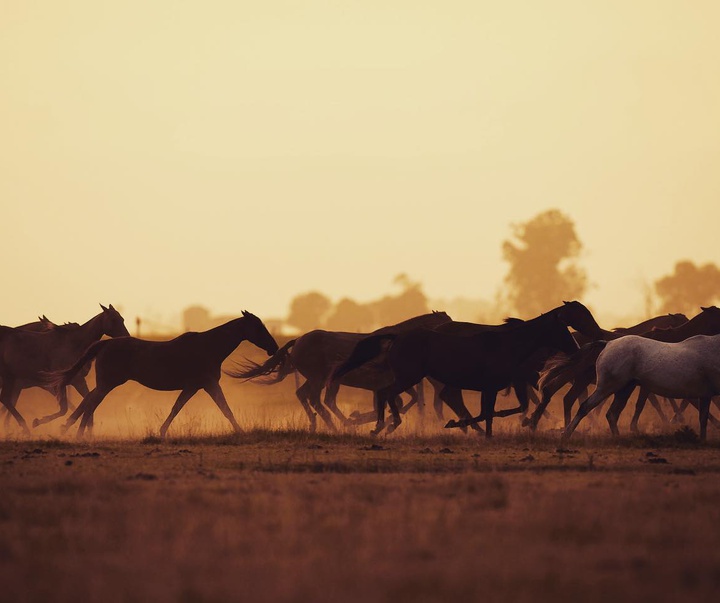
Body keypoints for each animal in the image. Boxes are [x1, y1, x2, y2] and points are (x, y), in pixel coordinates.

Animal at [0, 306, 128, 434]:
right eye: (113, 320)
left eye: (122, 319)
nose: (126, 336)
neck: (74, 344)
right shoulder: (62, 383)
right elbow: (65, 408)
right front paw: (39, 422)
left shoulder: (76, 381)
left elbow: (85, 399)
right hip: (9, 378)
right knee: (5, 399)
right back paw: (26, 428)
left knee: (6, 400)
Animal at [40, 312, 278, 438]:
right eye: (258, 327)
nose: (274, 348)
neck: (208, 347)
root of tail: (105, 343)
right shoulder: (207, 384)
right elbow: (224, 409)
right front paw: (241, 431)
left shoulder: (194, 387)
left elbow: (177, 408)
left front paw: (161, 432)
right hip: (107, 384)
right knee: (90, 404)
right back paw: (79, 434)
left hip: (105, 384)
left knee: (88, 403)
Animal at [225, 314, 450, 432]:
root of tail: (298, 341)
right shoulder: (384, 383)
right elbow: (398, 402)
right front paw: (362, 419)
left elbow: (407, 401)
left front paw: (365, 419)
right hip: (321, 379)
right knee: (318, 399)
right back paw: (337, 425)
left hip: (320, 379)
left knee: (308, 396)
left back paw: (319, 423)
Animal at [332, 306, 580, 438]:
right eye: (561, 328)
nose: (576, 348)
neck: (507, 345)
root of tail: (397, 337)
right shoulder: (491, 386)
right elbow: (489, 412)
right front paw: (460, 426)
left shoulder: (490, 388)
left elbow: (491, 412)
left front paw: (475, 430)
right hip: (409, 376)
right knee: (388, 394)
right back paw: (388, 425)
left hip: (410, 377)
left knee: (386, 393)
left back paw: (381, 426)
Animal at [564, 336, 720, 444]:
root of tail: (609, 343)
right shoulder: (707, 394)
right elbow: (704, 417)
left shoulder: (705, 395)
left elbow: (703, 418)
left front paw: (703, 440)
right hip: (607, 387)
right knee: (586, 406)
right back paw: (566, 434)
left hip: (625, 389)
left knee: (612, 414)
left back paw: (618, 438)